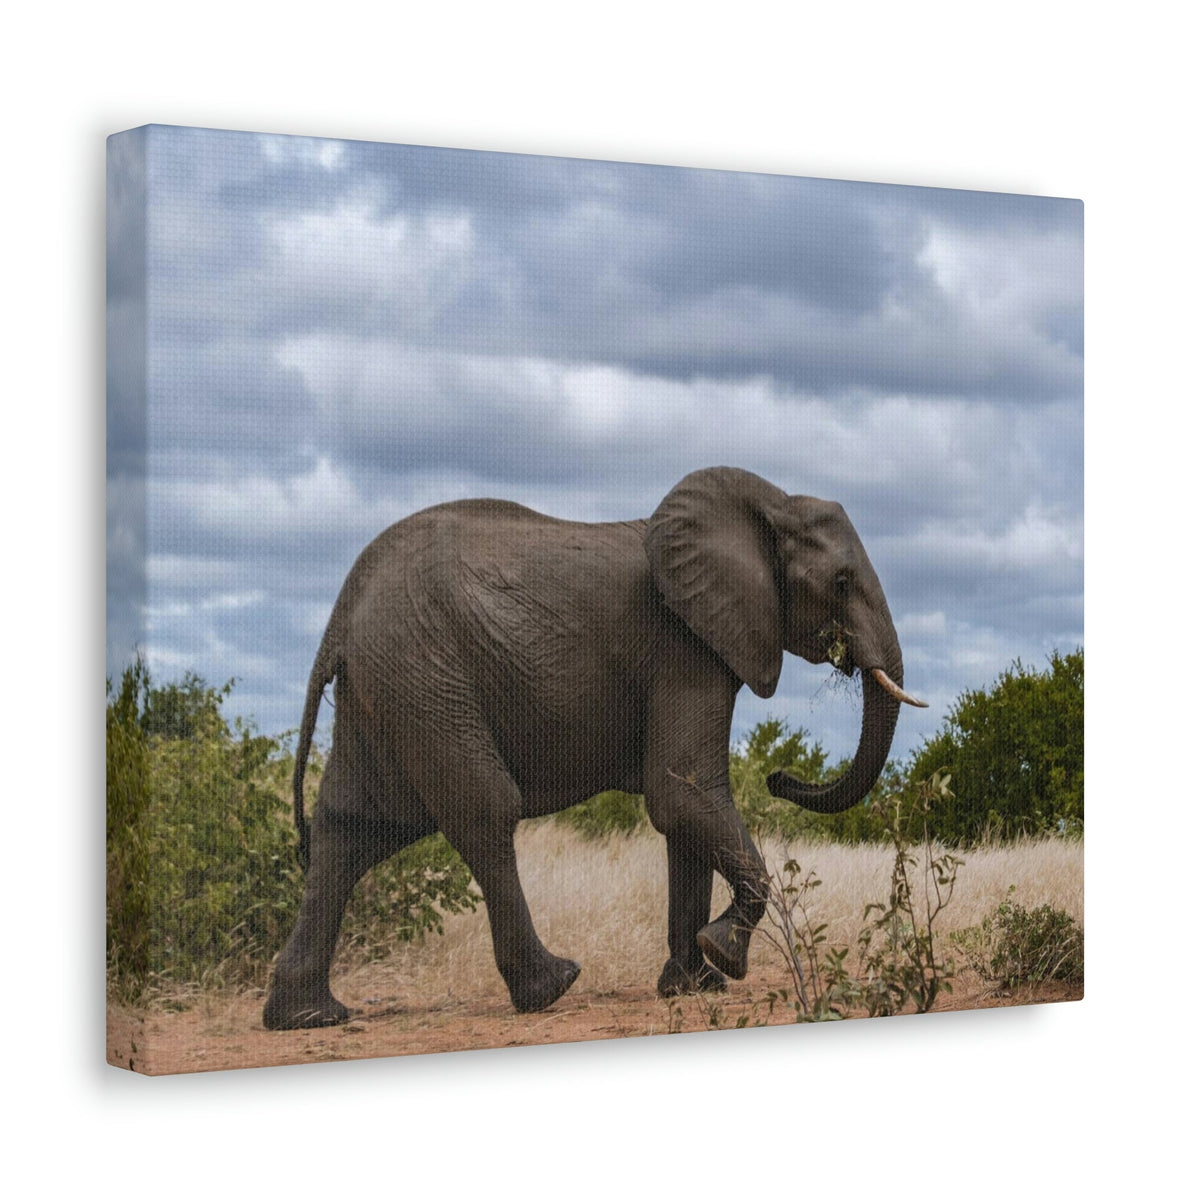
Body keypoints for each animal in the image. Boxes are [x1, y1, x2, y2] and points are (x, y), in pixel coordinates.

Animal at [262, 467, 925, 1029]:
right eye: (841, 583)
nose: (779, 777)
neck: (769, 502)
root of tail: (342, 612)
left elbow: (683, 810)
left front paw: (691, 986)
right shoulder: (682, 643)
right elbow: (682, 791)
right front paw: (724, 957)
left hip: (388, 684)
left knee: (353, 827)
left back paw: (307, 1016)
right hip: (424, 674)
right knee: (484, 810)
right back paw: (551, 987)